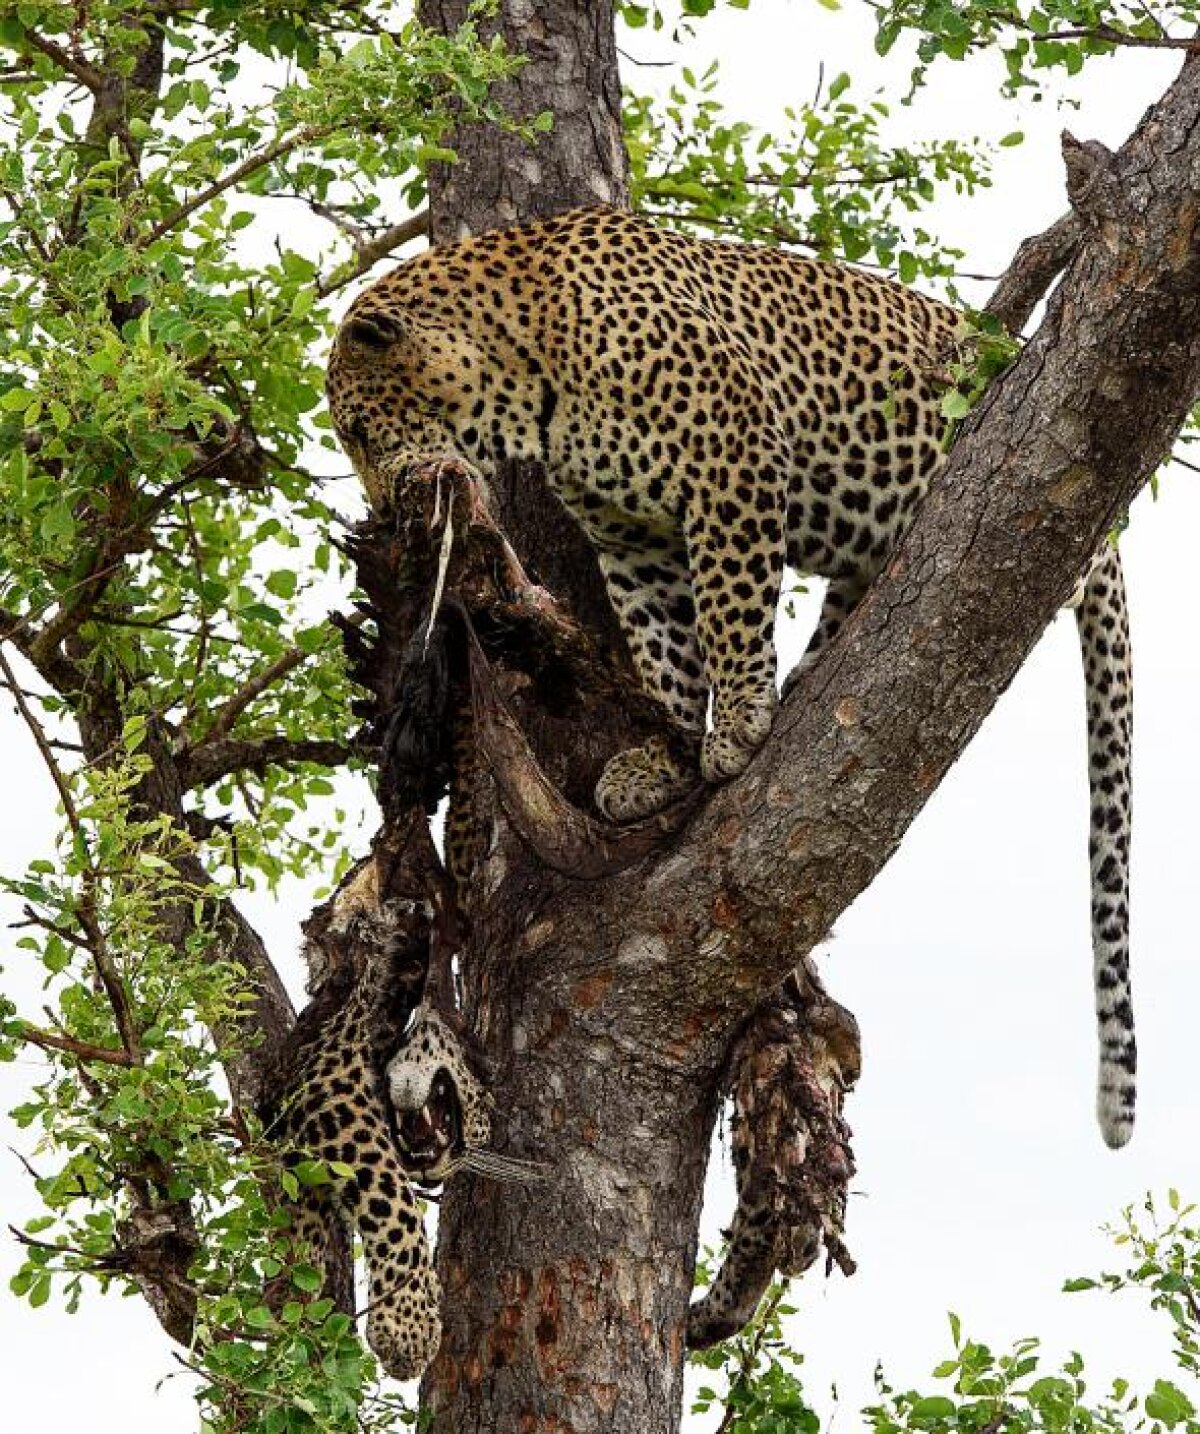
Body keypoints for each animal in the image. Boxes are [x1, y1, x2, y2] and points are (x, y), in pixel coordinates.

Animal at [325, 204, 1136, 1150]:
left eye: (361, 431)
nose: (386, 507)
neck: (527, 377)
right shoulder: (632, 538)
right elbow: (664, 647)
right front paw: (669, 756)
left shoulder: (730, 460)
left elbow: (729, 606)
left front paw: (739, 721)